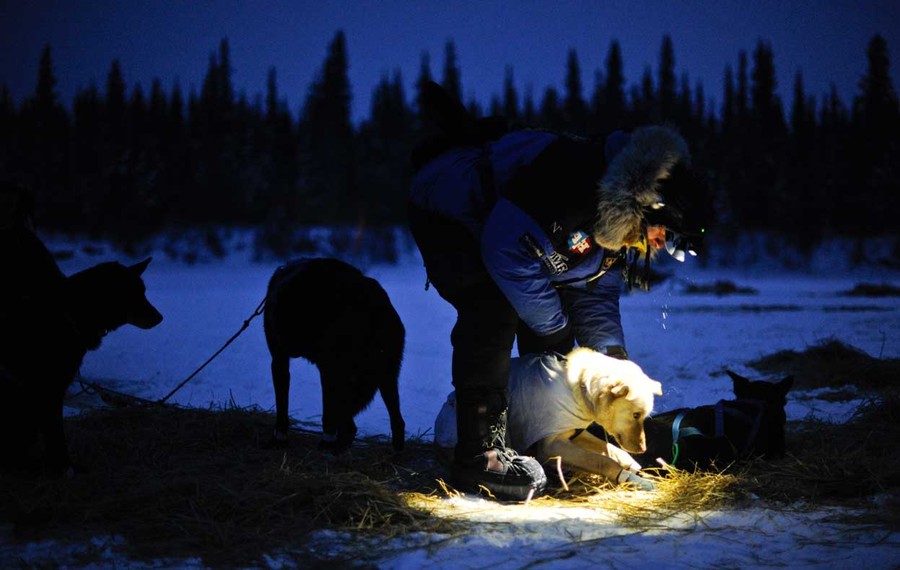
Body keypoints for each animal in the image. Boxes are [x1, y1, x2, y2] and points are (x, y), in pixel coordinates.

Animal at [0, 258, 163, 474]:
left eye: (143, 291)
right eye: (133, 294)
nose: (160, 318)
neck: (70, 313)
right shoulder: (49, 391)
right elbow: (56, 437)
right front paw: (64, 469)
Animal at [260, 258, 404, 452]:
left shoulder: (290, 360)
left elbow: (288, 408)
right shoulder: (282, 359)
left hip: (348, 376)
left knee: (345, 420)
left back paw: (331, 444)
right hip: (385, 376)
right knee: (394, 420)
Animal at [510, 346, 664, 488]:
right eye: (636, 414)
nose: (643, 449)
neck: (578, 385)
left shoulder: (575, 433)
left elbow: (612, 449)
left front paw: (632, 466)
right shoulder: (552, 445)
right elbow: (603, 461)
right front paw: (631, 478)